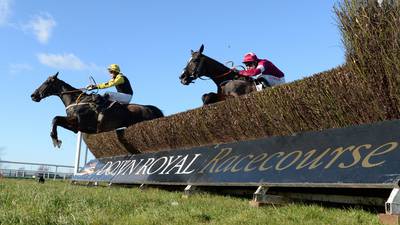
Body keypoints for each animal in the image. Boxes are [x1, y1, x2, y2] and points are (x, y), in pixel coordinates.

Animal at [30, 72, 163, 149]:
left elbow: (55, 118)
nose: (33, 95)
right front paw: (55, 139)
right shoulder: (75, 127)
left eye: (47, 82)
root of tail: (150, 108)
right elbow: (57, 120)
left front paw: (55, 139)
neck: (76, 100)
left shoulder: (79, 123)